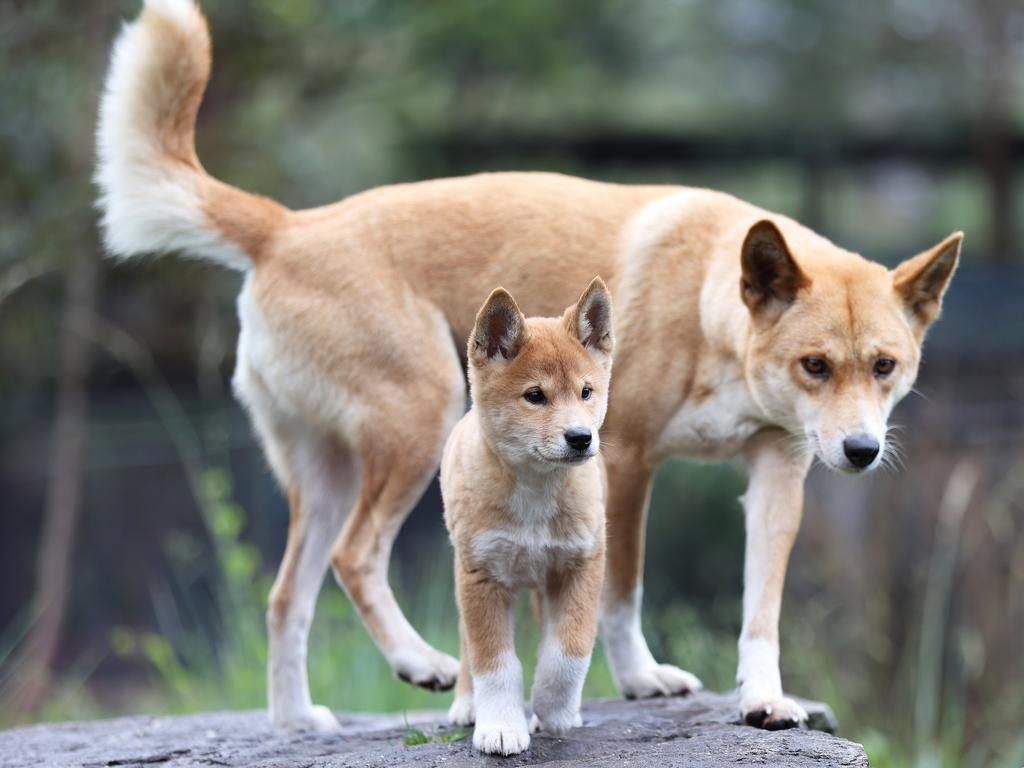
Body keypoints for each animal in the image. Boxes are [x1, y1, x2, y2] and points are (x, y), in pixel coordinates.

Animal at [442, 280, 610, 753]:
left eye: (586, 392)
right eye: (535, 396)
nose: (581, 437)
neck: (536, 492)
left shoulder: (581, 565)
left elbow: (568, 651)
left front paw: (553, 710)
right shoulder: (480, 576)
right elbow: (494, 663)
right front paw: (500, 726)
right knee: (466, 645)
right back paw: (467, 704)